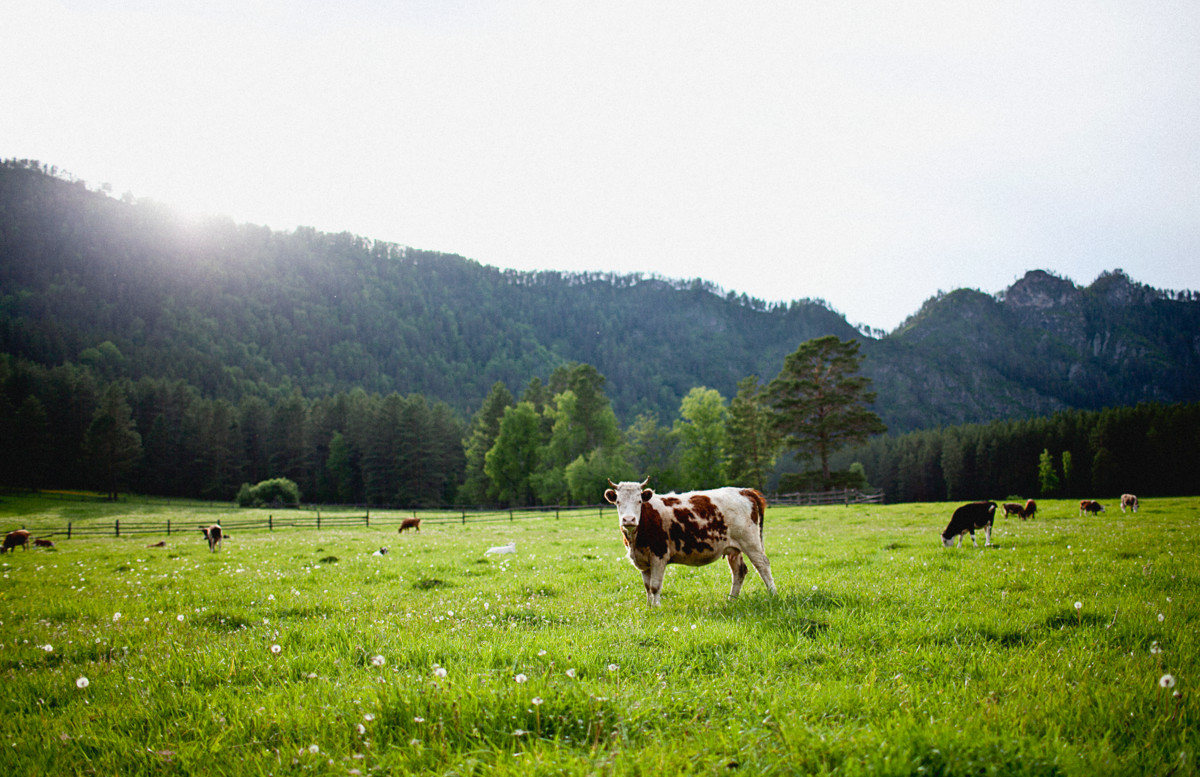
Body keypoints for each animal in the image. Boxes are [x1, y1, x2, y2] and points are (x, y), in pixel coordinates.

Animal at [600, 479, 777, 606]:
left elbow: (655, 586)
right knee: (739, 571)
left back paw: (773, 595)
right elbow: (647, 587)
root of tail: (744, 490)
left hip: (751, 542)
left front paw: (656, 608)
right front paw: (649, 607)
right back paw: (731, 600)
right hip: (733, 548)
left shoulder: (659, 555)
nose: (629, 519)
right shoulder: (642, 560)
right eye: (618, 502)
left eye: (639, 501)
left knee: (763, 565)